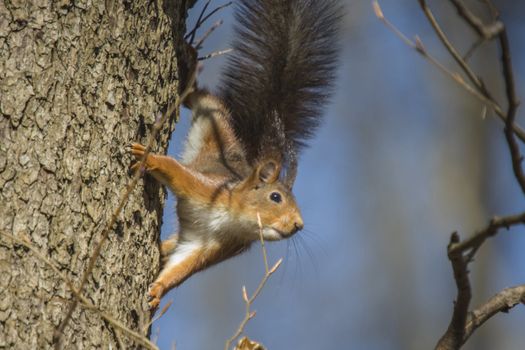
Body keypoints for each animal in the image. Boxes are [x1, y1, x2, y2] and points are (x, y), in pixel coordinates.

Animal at [131, 0, 340, 308]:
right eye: (275, 197)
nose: (298, 225)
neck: (232, 220)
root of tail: (243, 150)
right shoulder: (207, 188)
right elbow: (176, 172)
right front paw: (150, 158)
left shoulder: (215, 245)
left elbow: (183, 265)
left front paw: (158, 290)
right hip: (214, 117)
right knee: (202, 96)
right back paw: (188, 66)